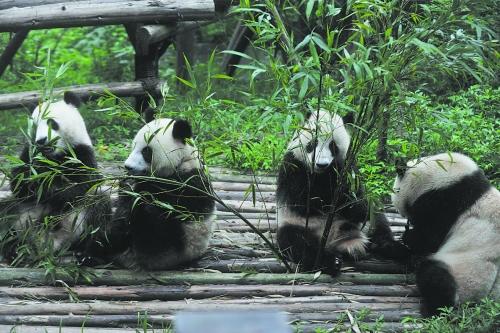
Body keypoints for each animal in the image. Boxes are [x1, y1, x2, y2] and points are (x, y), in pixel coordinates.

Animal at [4, 91, 111, 262]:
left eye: (51, 122)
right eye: (34, 126)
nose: (41, 141)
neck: (54, 156)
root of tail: (53, 246)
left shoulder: (81, 154)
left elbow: (80, 186)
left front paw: (51, 188)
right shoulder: (29, 153)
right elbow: (18, 182)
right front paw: (37, 180)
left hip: (80, 222)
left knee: (99, 207)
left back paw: (87, 254)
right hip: (22, 219)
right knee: (9, 216)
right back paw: (13, 248)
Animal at [103, 116, 215, 270]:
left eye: (146, 151)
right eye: (133, 146)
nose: (128, 167)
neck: (181, 162)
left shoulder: (190, 182)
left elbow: (183, 208)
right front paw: (128, 185)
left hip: (180, 242)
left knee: (152, 226)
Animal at [276, 110, 408, 274]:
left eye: (333, 146)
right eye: (313, 143)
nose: (321, 164)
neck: (321, 174)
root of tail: (340, 243)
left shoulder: (349, 167)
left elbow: (358, 201)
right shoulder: (293, 166)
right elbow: (301, 201)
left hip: (362, 225)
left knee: (377, 221)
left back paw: (393, 248)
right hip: (298, 226)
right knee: (297, 243)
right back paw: (330, 261)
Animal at [392, 152, 498, 316]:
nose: (399, 210)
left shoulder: (445, 203)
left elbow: (430, 238)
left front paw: (409, 237)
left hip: (468, 273)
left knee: (435, 276)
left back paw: (432, 308)